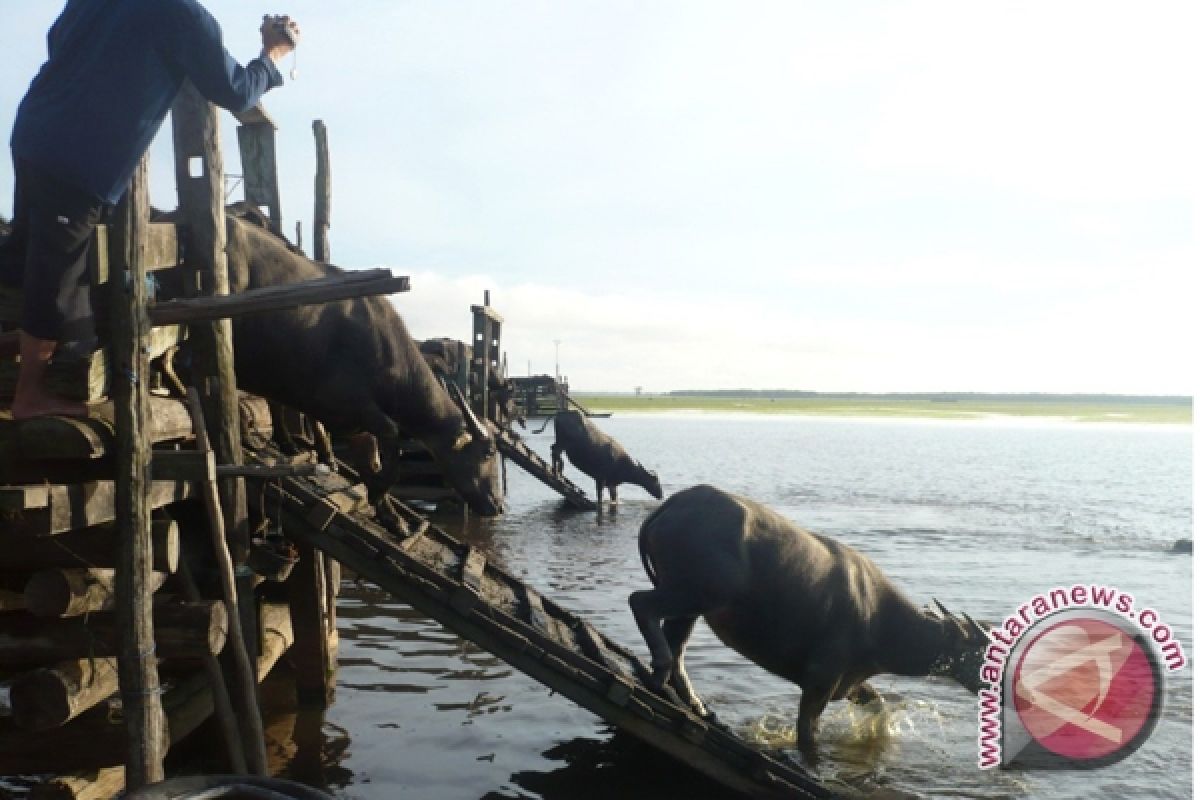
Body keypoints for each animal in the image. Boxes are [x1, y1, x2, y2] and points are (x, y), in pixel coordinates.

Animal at [213, 206, 504, 515]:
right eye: (488, 452)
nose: (497, 505)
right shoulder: (348, 402)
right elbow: (390, 436)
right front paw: (377, 491)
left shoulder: (352, 424)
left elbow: (368, 457)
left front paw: (388, 511)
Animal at [628, 484, 984, 767]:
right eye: (983, 651)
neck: (879, 619)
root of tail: (674, 504)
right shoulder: (819, 682)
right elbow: (807, 734)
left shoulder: (848, 683)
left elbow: (878, 704)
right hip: (693, 594)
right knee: (641, 605)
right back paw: (659, 671)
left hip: (691, 607)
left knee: (677, 647)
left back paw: (697, 706)